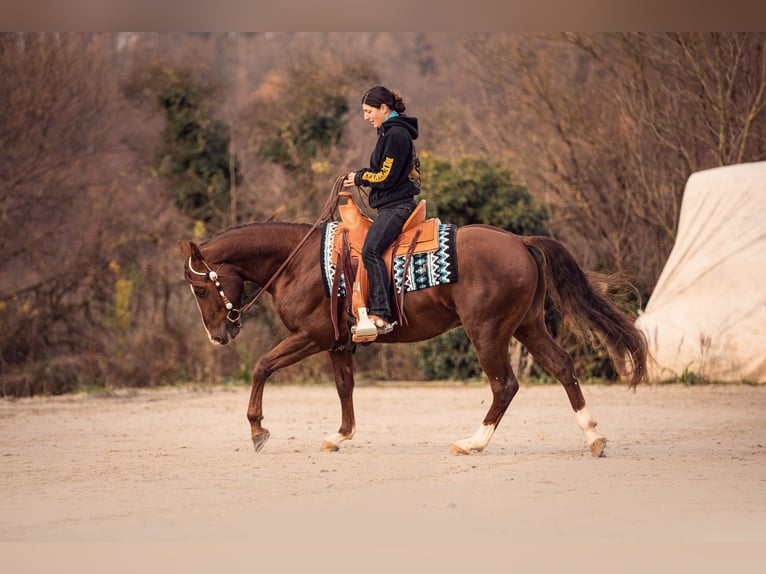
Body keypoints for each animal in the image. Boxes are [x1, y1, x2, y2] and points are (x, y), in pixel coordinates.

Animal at [179, 198, 647, 457]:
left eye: (200, 289)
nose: (218, 336)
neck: (300, 261)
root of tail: (520, 240)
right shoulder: (338, 344)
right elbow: (344, 388)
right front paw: (339, 436)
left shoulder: (311, 337)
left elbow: (262, 366)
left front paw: (258, 429)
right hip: (527, 327)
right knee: (563, 366)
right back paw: (593, 437)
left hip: (487, 332)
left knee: (505, 385)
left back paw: (472, 443)